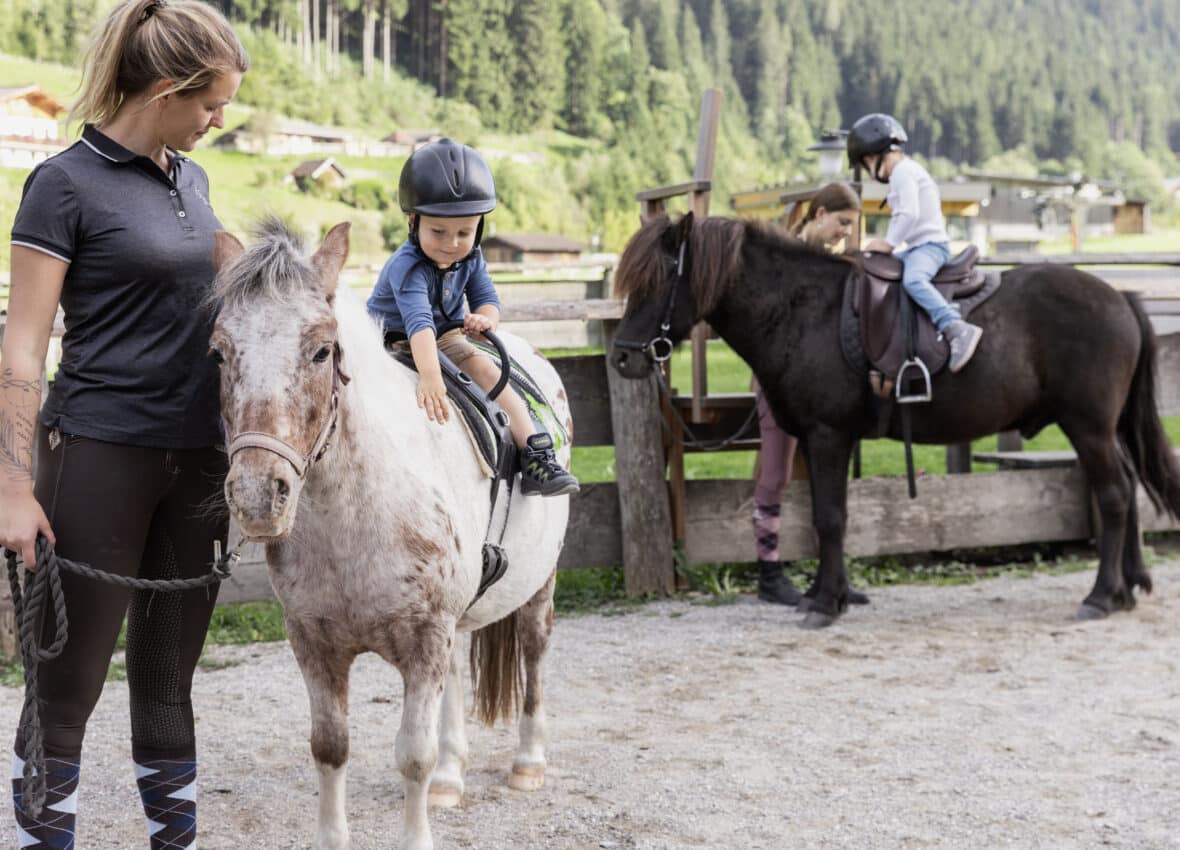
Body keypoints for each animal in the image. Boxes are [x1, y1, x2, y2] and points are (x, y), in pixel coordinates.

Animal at [608, 211, 1180, 623]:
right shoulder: (818, 440)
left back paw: (1102, 595)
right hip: (1105, 430)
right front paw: (829, 592)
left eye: (659, 279)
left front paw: (825, 604)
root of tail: (1120, 298)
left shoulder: (828, 435)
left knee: (1113, 495)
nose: (622, 358)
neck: (802, 310)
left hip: (1088, 427)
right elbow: (825, 515)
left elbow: (830, 518)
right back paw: (1129, 587)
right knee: (1129, 486)